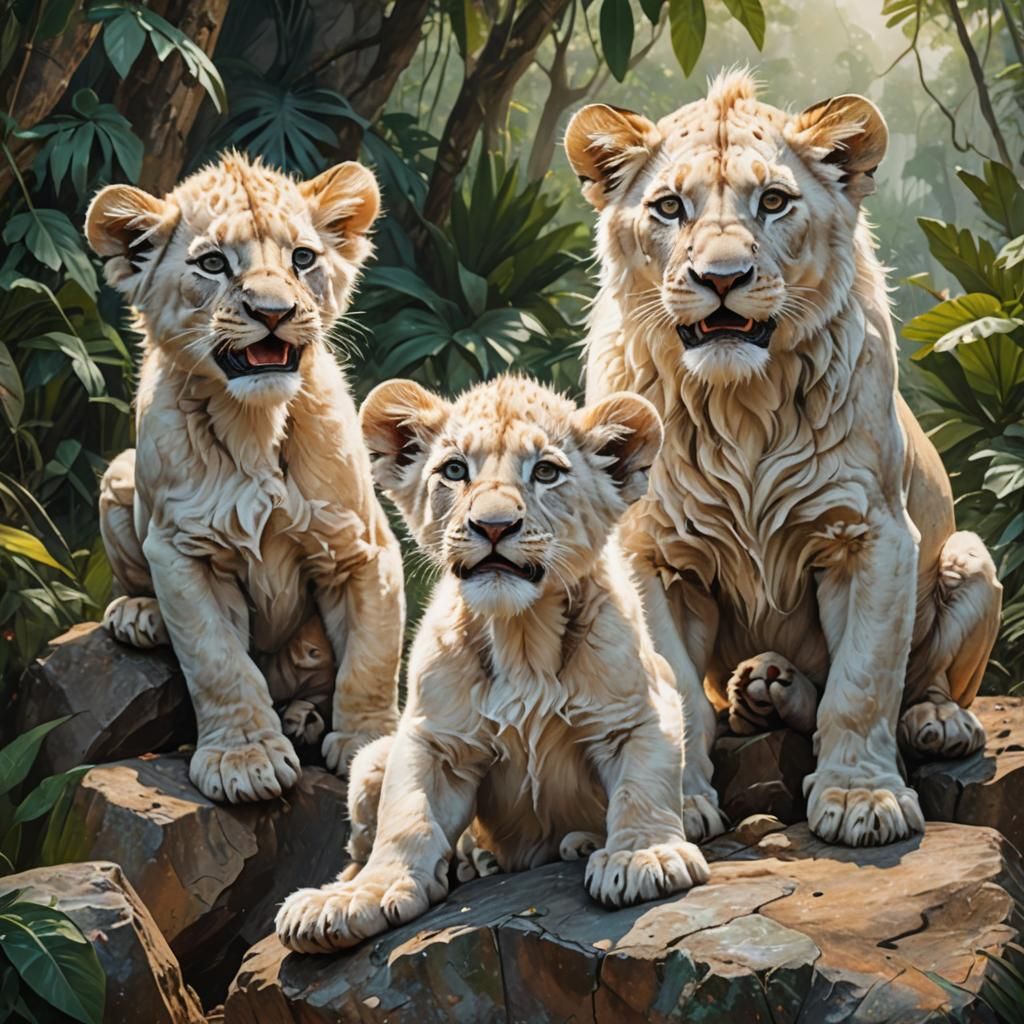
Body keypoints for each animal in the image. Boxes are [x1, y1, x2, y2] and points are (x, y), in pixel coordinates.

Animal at [85, 152, 404, 803]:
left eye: (302, 258)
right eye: (213, 263)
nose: (273, 312)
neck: (254, 423)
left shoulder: (364, 547)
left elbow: (372, 659)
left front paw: (372, 747)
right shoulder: (183, 552)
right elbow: (218, 662)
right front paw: (245, 760)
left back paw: (304, 718)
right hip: (119, 477)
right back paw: (138, 615)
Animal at [274, 375, 710, 952]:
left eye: (545, 472)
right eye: (455, 470)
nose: (494, 526)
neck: (520, 635)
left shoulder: (641, 711)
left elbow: (644, 786)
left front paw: (643, 857)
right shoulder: (433, 740)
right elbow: (406, 816)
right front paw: (357, 898)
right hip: (369, 761)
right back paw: (458, 863)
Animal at [564, 71, 1002, 848]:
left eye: (772, 201)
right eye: (670, 207)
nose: (722, 277)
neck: (740, 406)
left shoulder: (871, 533)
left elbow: (863, 681)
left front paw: (862, 799)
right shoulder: (650, 552)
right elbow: (677, 691)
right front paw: (677, 809)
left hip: (969, 555)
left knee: (920, 682)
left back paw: (935, 722)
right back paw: (763, 689)